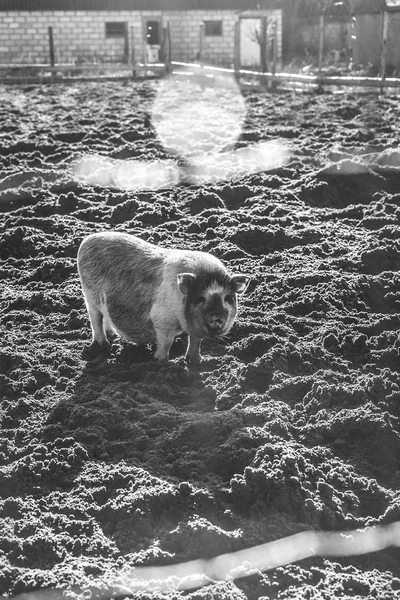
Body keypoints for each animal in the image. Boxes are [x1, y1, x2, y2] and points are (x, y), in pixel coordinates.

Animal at [76, 232, 248, 364]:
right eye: (200, 298)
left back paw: (113, 336)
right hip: (90, 295)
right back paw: (104, 345)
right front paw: (162, 363)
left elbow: (195, 342)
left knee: (105, 317)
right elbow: (166, 344)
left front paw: (197, 361)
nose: (216, 316)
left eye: (227, 298)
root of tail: (86, 240)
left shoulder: (193, 329)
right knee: (95, 319)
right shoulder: (162, 321)